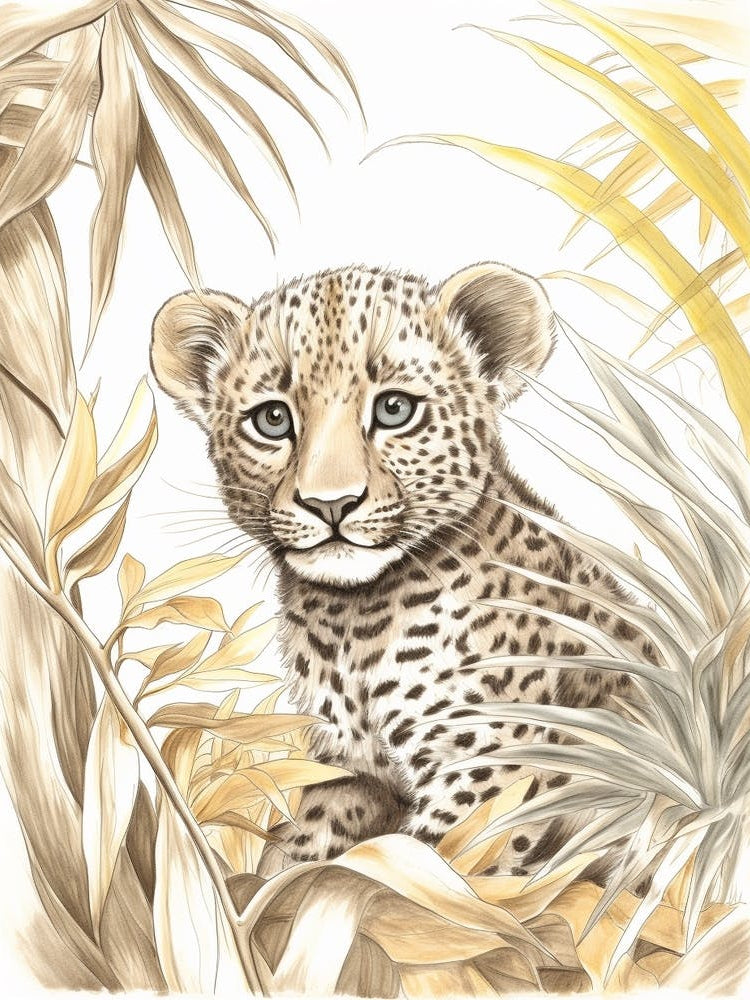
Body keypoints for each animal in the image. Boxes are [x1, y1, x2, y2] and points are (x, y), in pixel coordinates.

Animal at [150, 262, 655, 880]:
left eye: (395, 409)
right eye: (271, 419)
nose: (331, 504)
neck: (351, 621)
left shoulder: (493, 760)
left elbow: (435, 862)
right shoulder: (348, 767)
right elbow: (307, 851)